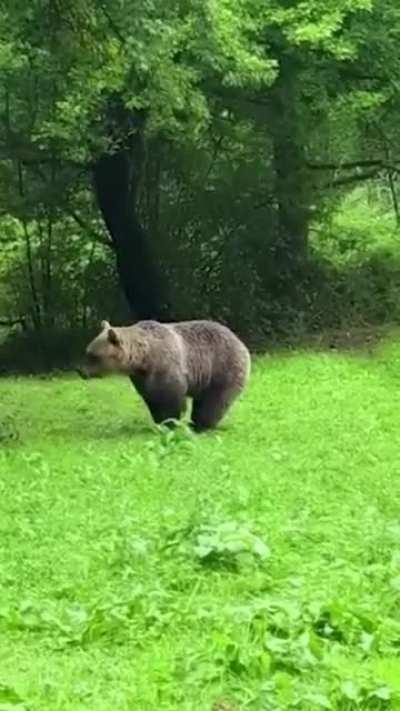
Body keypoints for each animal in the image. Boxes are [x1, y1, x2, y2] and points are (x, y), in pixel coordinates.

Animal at [79, 319, 251, 431]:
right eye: (87, 351)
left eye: (93, 355)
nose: (81, 371)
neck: (144, 358)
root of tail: (240, 341)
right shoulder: (143, 378)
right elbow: (152, 398)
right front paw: (160, 421)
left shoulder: (167, 367)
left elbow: (171, 398)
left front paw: (170, 422)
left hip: (221, 368)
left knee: (213, 401)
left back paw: (200, 425)